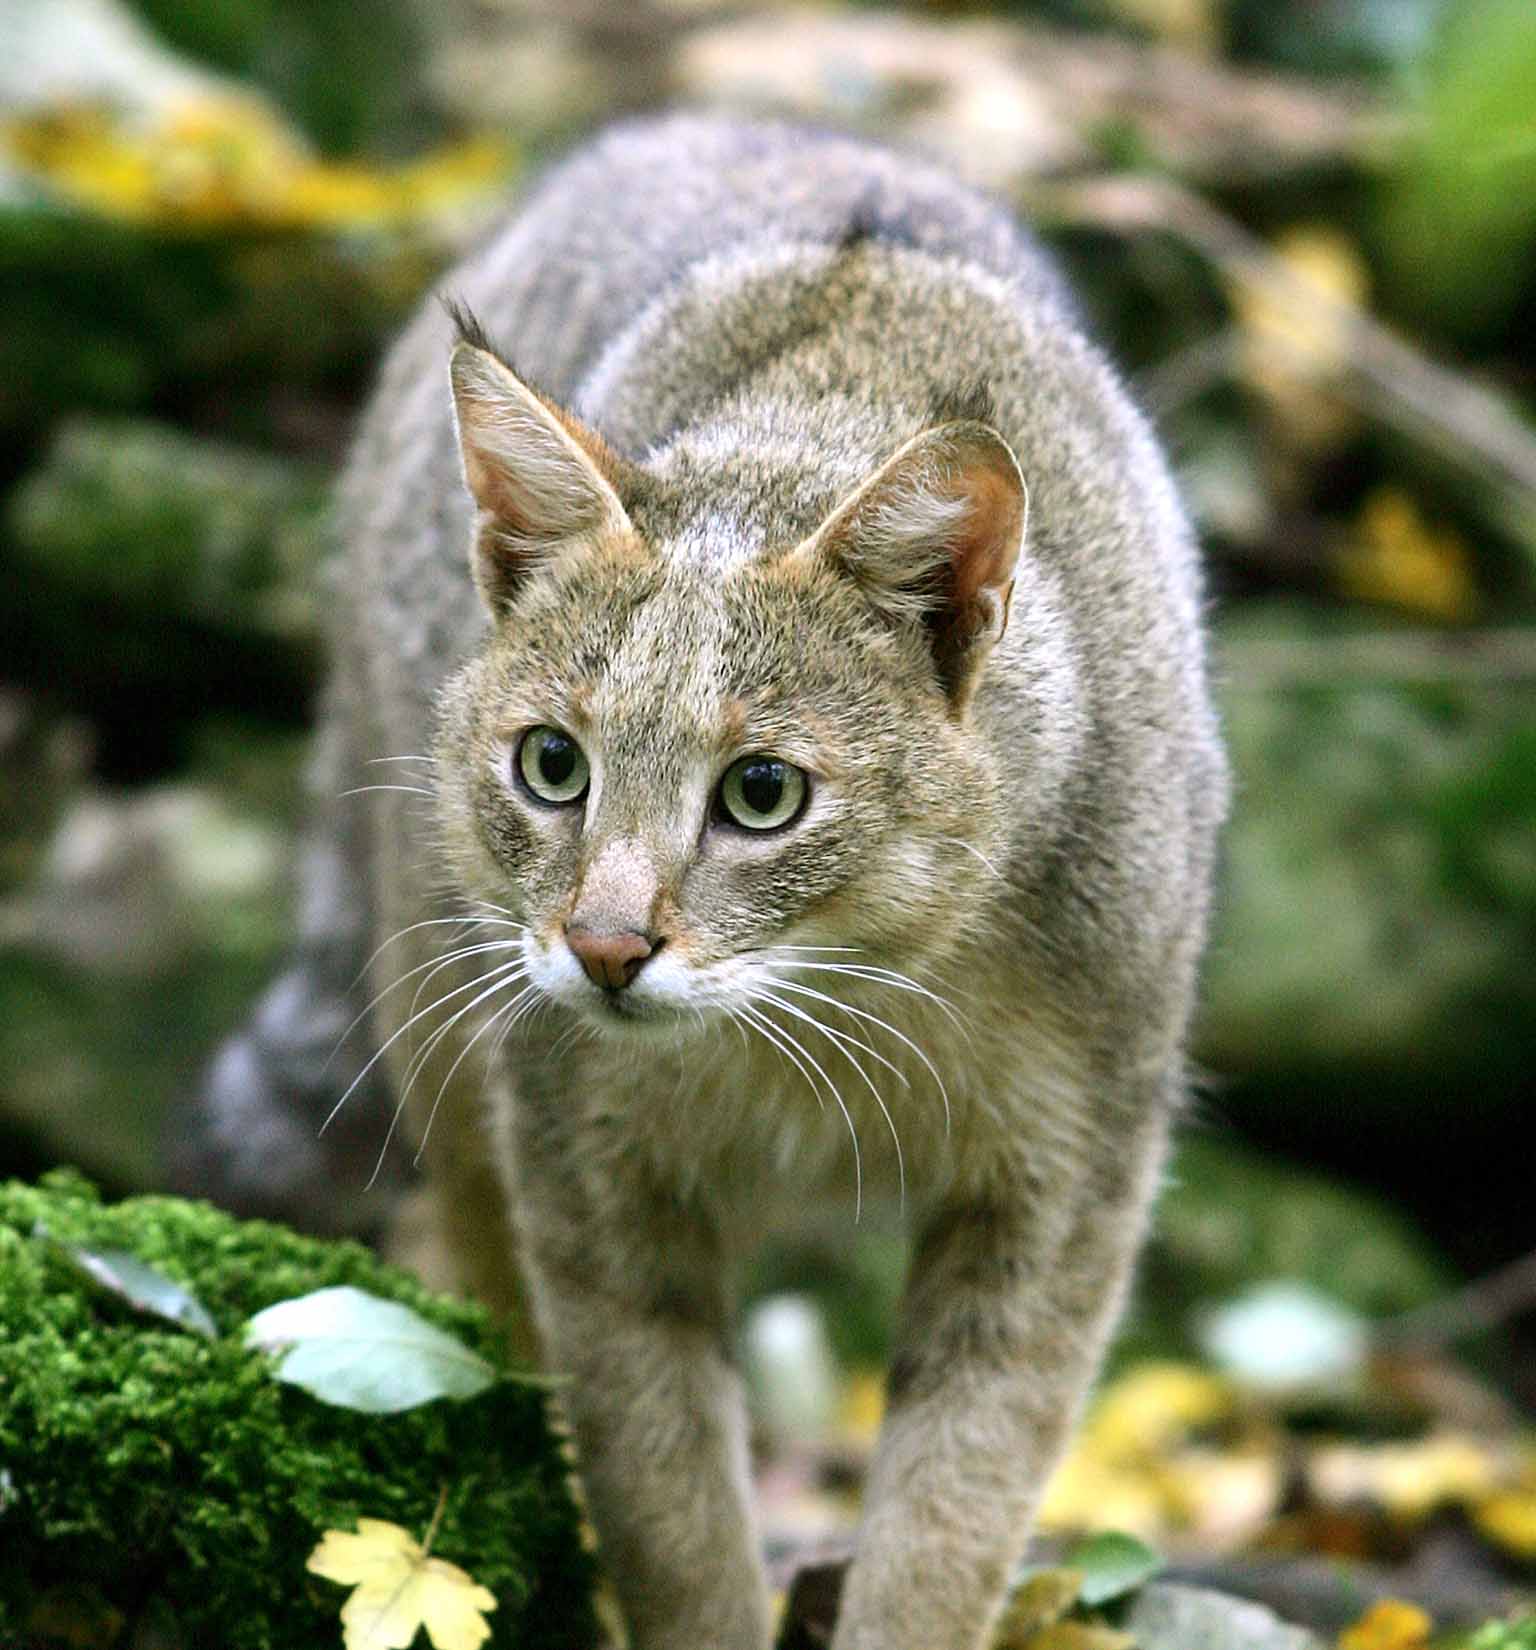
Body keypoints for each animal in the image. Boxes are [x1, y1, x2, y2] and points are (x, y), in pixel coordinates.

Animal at [321, 116, 1227, 1650]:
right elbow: (669, 1496)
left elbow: (951, 1509)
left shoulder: (1067, 1182)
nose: (604, 947)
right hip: (436, 1014)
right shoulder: (585, 1170)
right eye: (552, 765)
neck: (850, 996)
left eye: (762, 794)